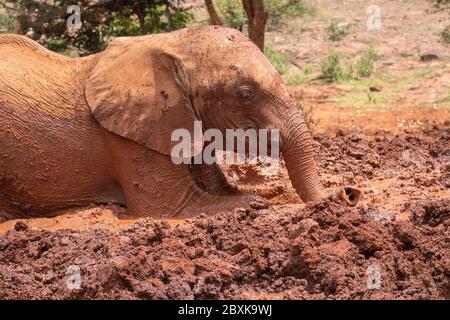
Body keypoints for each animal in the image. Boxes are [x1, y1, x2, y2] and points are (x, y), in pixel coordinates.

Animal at [0, 26, 360, 219]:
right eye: (244, 94)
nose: (349, 193)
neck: (170, 43)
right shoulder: (130, 136)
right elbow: (172, 207)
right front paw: (255, 203)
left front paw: (264, 192)